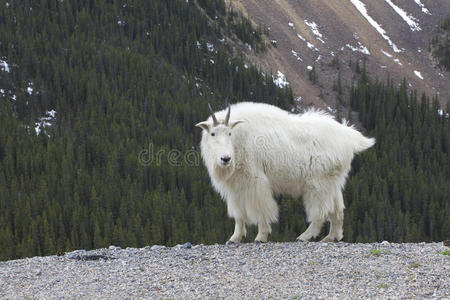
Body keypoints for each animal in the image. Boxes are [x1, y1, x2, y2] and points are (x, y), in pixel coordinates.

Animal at [195, 102, 374, 243]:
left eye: (229, 133)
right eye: (213, 133)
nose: (225, 159)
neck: (239, 139)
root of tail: (348, 137)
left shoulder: (255, 181)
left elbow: (261, 208)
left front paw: (261, 236)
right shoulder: (235, 188)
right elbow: (238, 214)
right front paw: (234, 238)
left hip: (317, 183)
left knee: (321, 211)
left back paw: (305, 236)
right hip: (332, 181)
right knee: (337, 209)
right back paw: (332, 237)